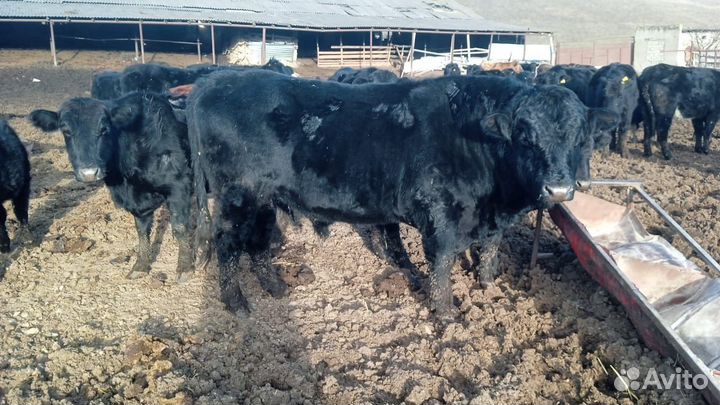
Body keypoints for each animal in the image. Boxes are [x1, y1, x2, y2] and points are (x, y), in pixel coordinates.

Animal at [28, 93, 194, 281]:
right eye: (66, 131)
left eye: (104, 129)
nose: (89, 173)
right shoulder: (139, 202)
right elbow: (142, 231)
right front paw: (140, 266)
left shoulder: (179, 186)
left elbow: (180, 227)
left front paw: (184, 268)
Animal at [185, 70, 617, 317]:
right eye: (526, 137)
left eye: (581, 137)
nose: (559, 189)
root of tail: (214, 81)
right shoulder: (440, 215)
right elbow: (440, 265)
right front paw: (446, 314)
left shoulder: (490, 221)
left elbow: (490, 253)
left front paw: (487, 287)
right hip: (237, 197)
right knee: (228, 245)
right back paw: (237, 304)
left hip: (264, 200)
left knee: (257, 243)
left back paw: (275, 287)